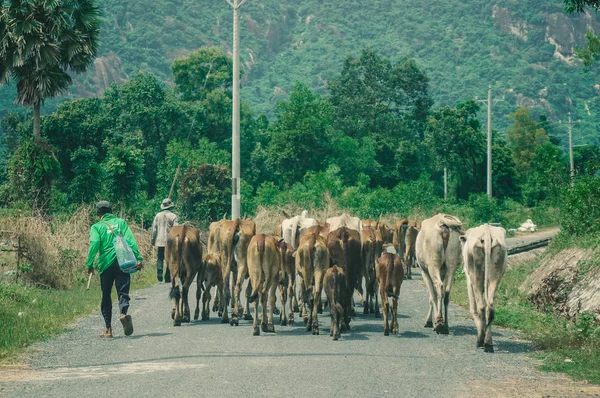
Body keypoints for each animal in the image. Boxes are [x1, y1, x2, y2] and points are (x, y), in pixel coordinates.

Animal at [460, 224, 506, 352]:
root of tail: (486, 231)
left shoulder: (468, 279)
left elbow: (473, 309)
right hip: (496, 269)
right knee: (490, 305)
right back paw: (488, 343)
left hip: (476, 272)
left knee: (481, 305)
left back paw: (480, 339)